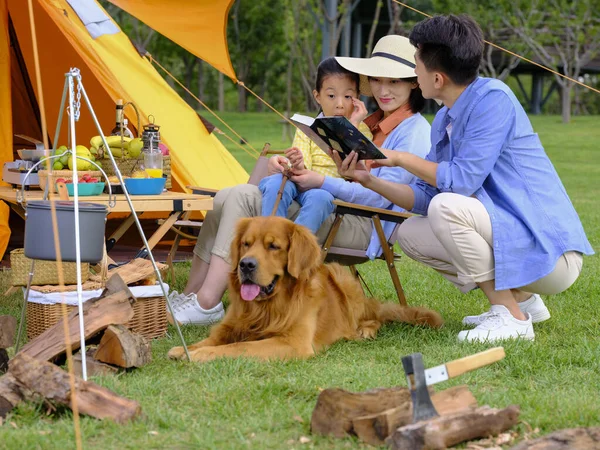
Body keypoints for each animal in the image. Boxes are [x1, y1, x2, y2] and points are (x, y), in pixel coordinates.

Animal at [166, 215, 442, 362]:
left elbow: (238, 347)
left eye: (273, 246)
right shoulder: (231, 327)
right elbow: (210, 340)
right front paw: (186, 349)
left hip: (342, 277)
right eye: (246, 244)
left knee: (372, 317)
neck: (266, 308)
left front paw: (202, 355)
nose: (245, 265)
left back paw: (364, 330)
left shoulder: (293, 343)